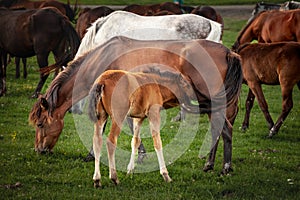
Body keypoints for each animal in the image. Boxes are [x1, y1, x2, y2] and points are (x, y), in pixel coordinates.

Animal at [28, 36, 244, 174]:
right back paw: (210, 165)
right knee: (218, 129)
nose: (39, 150)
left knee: (224, 129)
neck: (103, 58)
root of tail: (228, 53)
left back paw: (224, 167)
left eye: (40, 124)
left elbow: (120, 127)